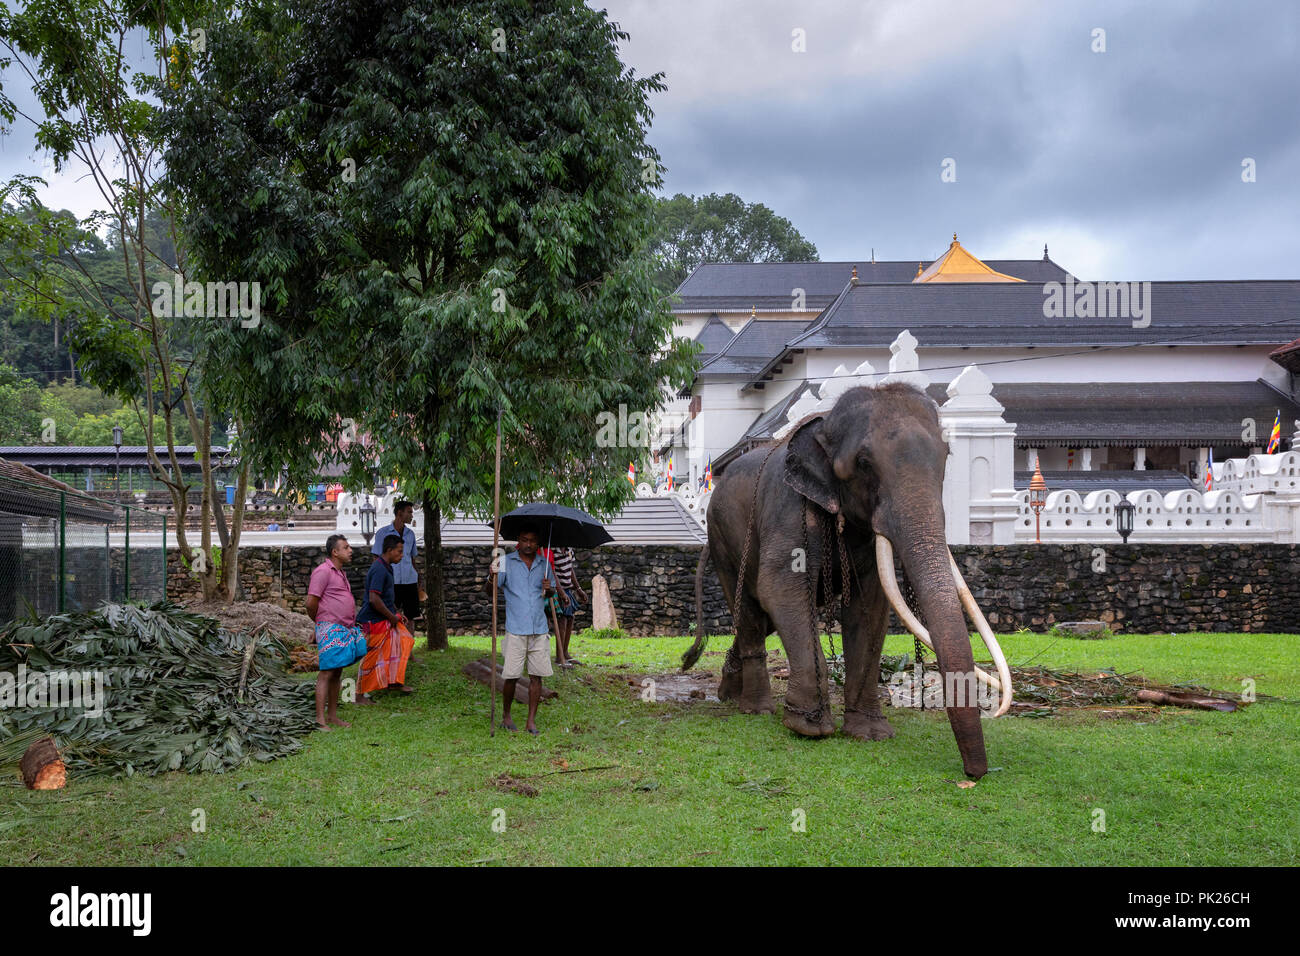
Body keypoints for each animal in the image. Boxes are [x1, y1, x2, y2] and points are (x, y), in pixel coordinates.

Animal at [686, 382, 1008, 780]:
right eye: (864, 464)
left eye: (946, 458)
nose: (975, 775)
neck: (824, 426)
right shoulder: (786, 506)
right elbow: (781, 588)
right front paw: (808, 728)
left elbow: (870, 605)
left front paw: (869, 734)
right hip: (722, 537)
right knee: (748, 607)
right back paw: (755, 709)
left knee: (761, 619)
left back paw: (729, 693)